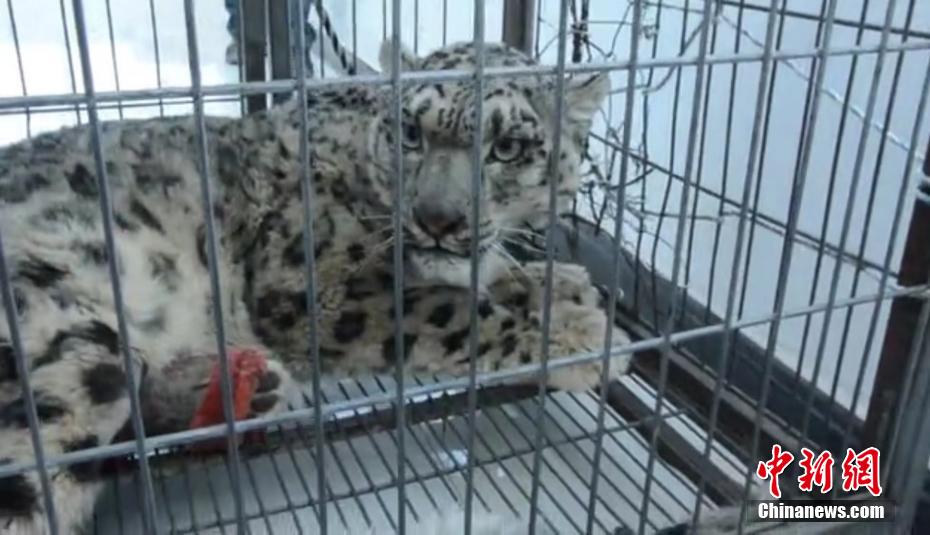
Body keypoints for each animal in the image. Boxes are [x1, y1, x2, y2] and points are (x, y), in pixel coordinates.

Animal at [0, 39, 633, 534]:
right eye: (411, 132)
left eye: (507, 147)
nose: (437, 218)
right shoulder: (314, 288)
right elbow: (449, 313)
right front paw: (583, 340)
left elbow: (491, 276)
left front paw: (565, 286)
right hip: (64, 332)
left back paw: (234, 389)